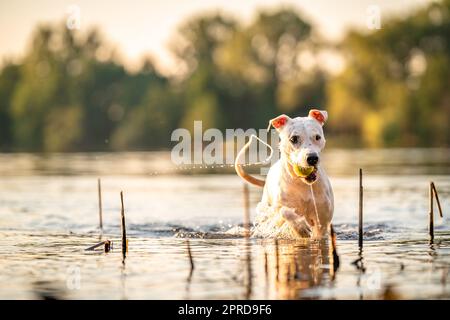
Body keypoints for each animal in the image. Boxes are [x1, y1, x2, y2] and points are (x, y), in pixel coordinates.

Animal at [236, 109, 334, 239]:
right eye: (294, 139)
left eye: (317, 137)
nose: (312, 158)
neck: (302, 184)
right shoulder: (278, 211)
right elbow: (284, 211)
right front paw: (300, 227)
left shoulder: (323, 219)